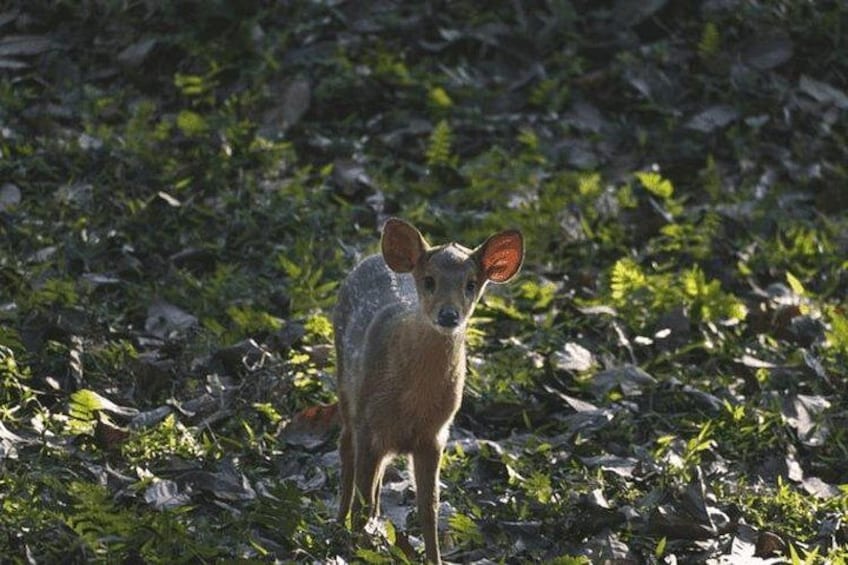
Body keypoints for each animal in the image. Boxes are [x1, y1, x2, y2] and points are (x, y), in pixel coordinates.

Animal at [334, 217, 524, 563]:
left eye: (471, 284)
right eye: (429, 281)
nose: (448, 314)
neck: (413, 402)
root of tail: (370, 259)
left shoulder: (434, 436)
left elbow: (429, 508)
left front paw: (433, 558)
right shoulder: (370, 425)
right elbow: (361, 501)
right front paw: (358, 551)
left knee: (376, 482)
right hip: (347, 388)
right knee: (346, 451)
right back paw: (339, 526)